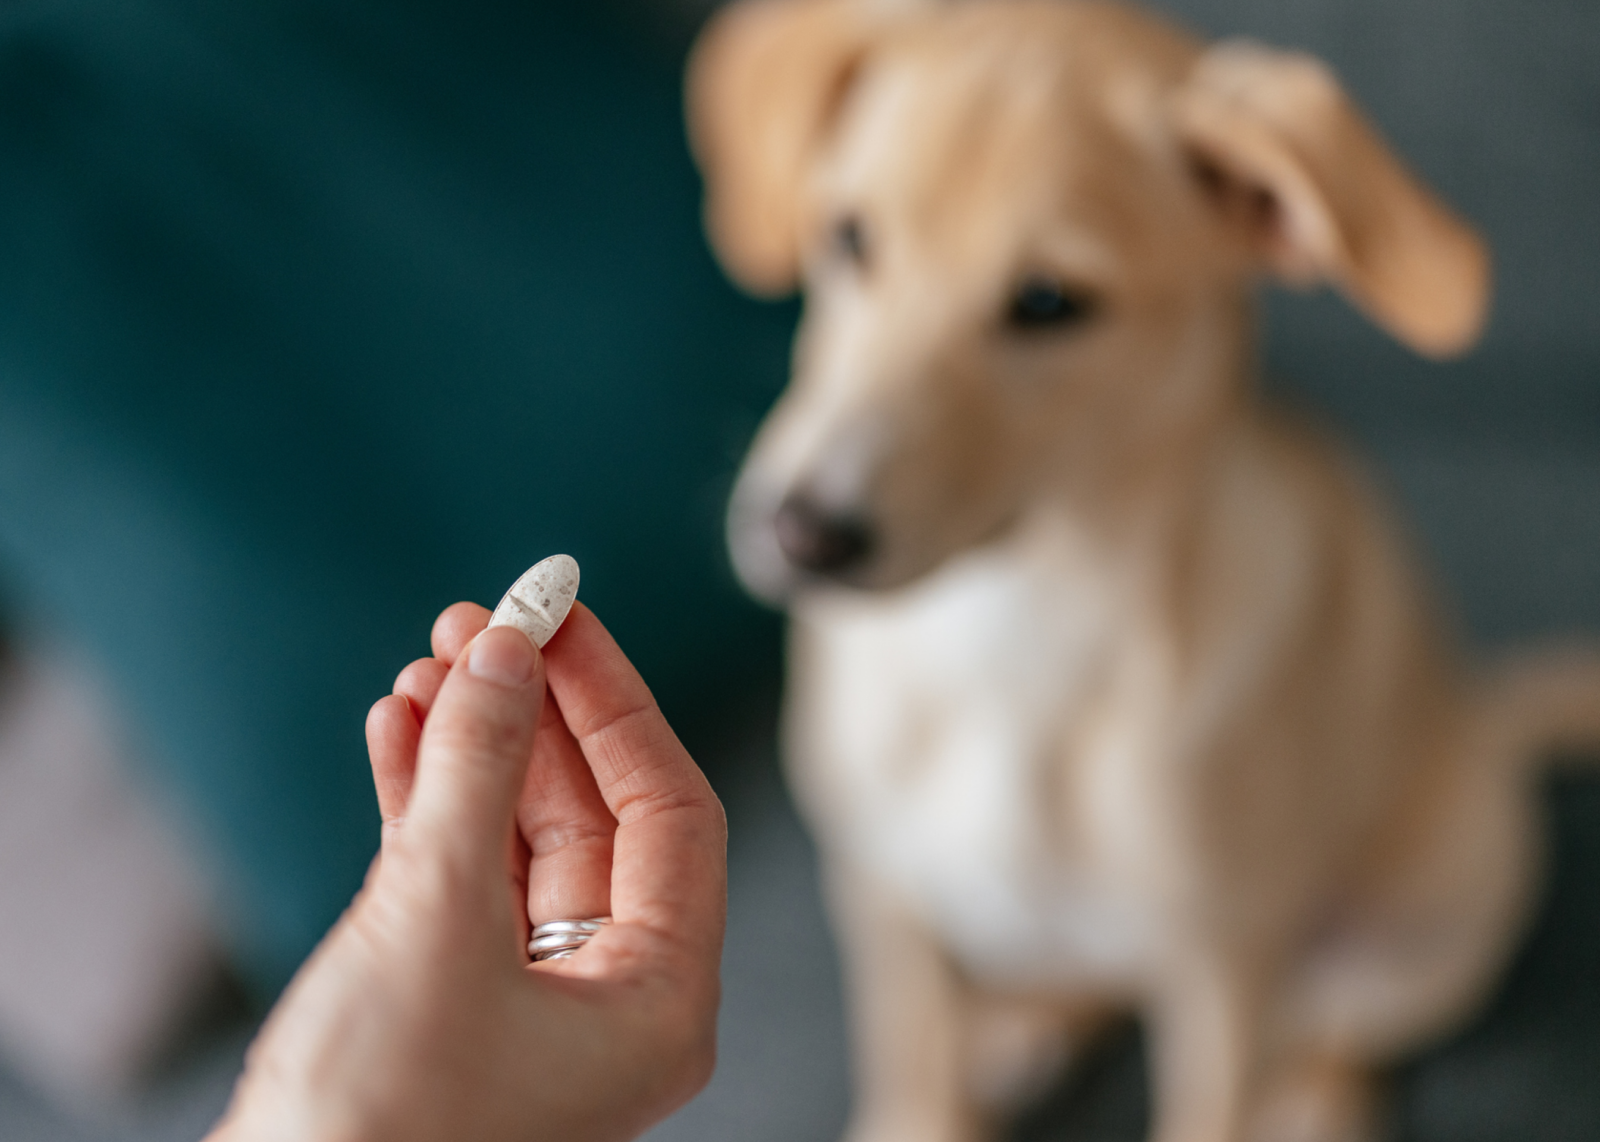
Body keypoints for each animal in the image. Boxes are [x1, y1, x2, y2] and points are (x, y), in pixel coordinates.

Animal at [684, 4, 1600, 1132]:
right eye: (849, 236)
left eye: (1048, 302)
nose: (803, 533)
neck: (1004, 636)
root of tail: (1479, 717)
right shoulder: (881, 890)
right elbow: (914, 1054)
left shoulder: (1221, 968)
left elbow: (1207, 1104)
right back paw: (1024, 1029)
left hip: (1434, 925)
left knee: (1339, 1033)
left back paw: (1310, 1101)